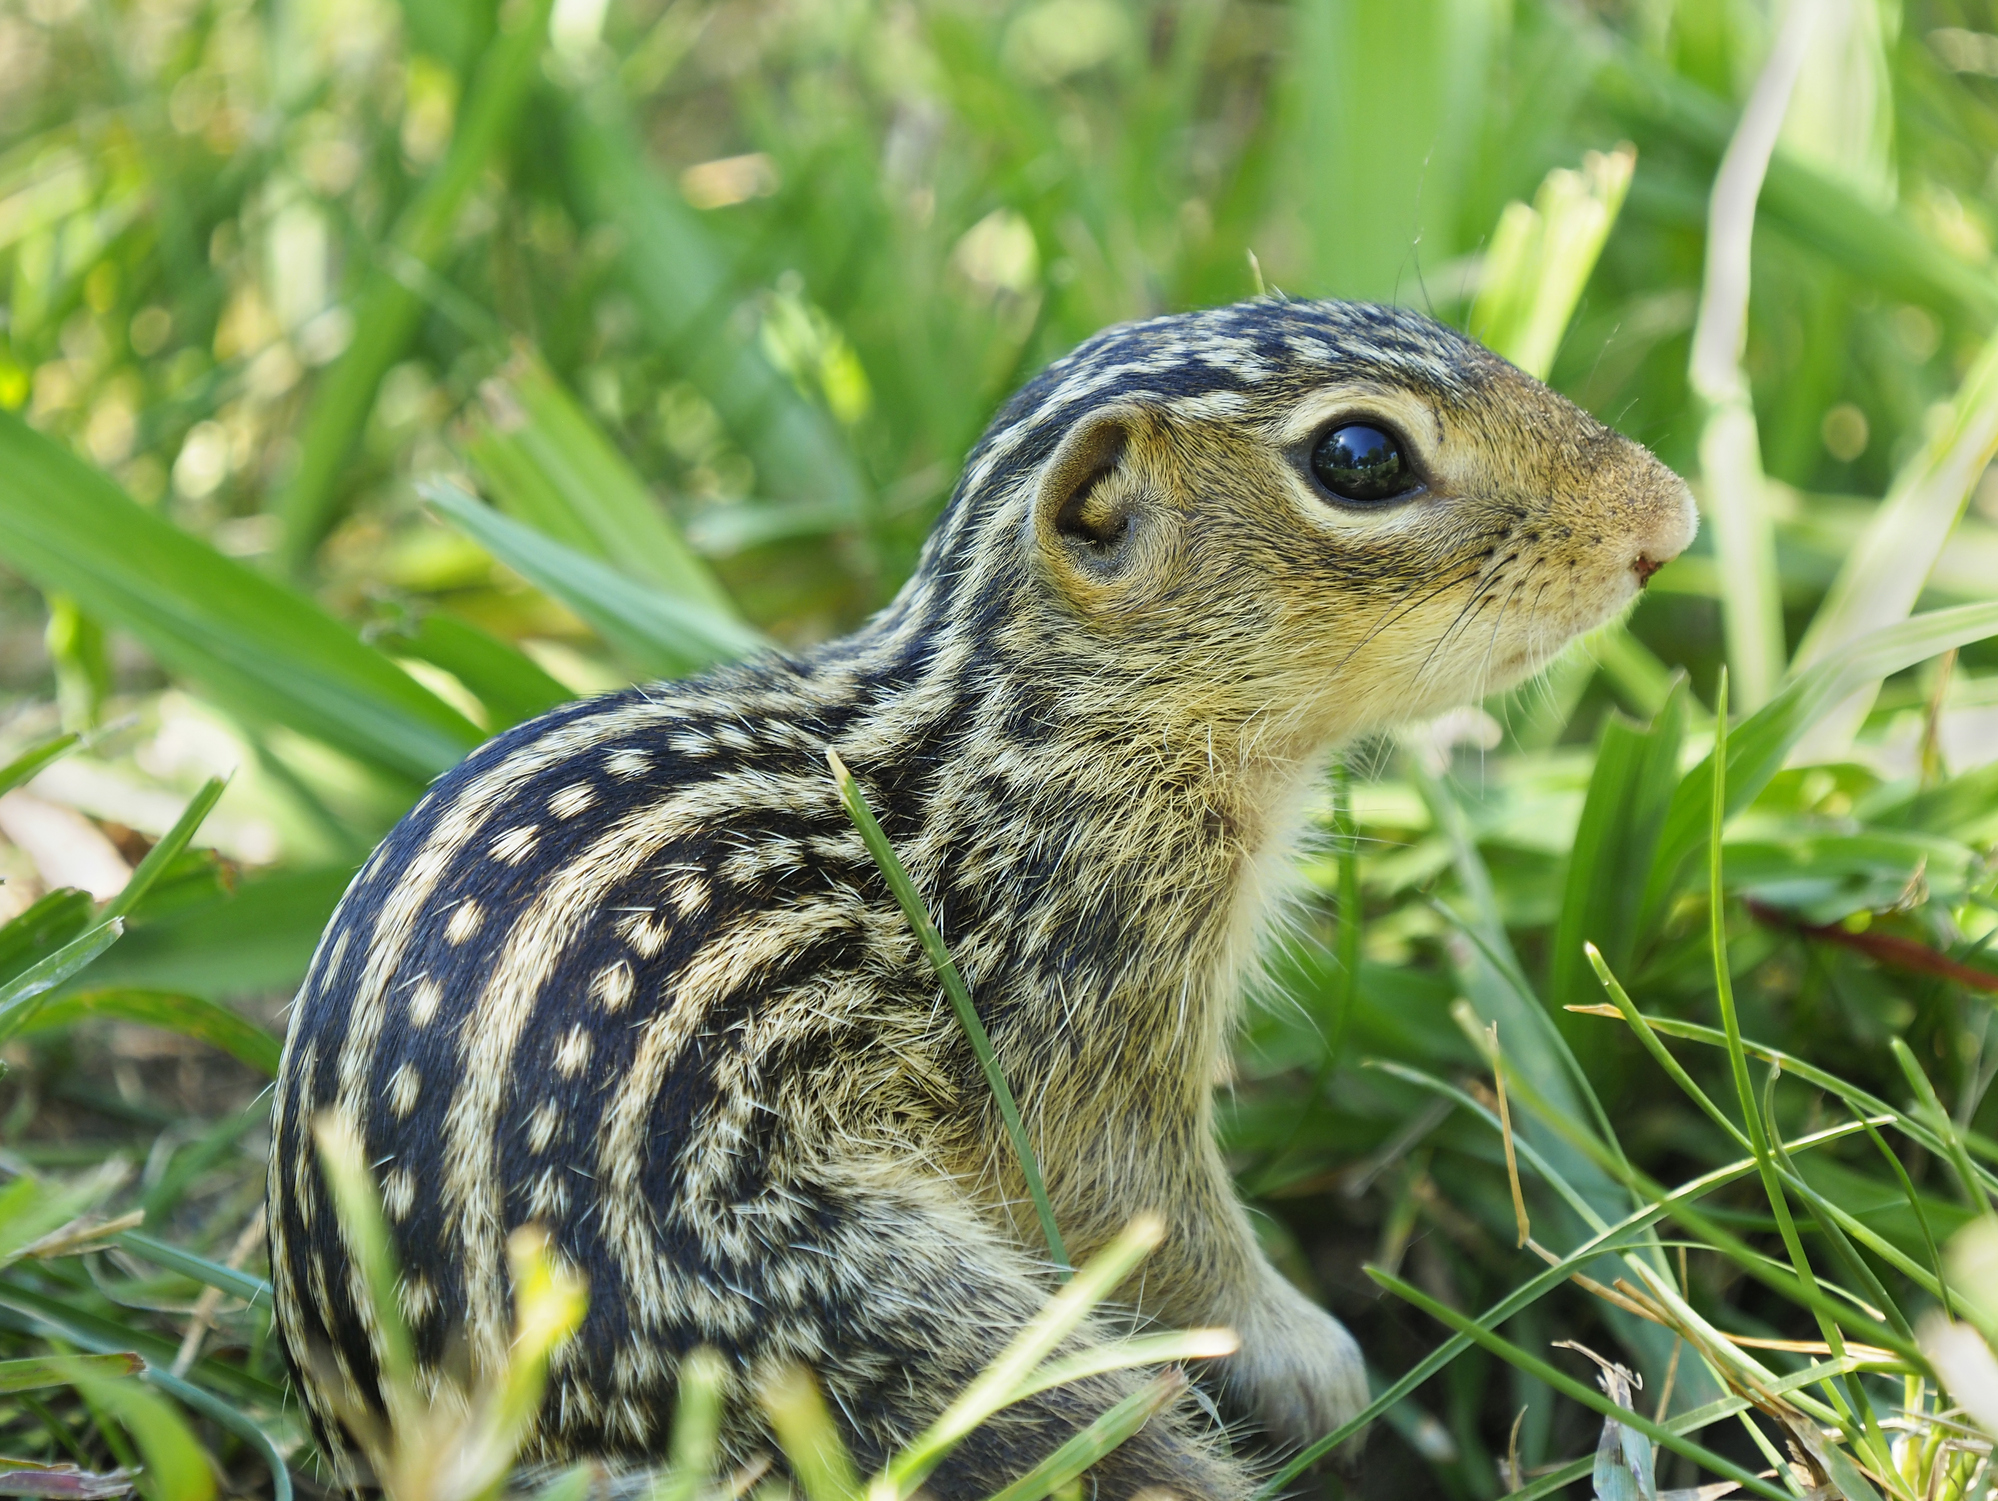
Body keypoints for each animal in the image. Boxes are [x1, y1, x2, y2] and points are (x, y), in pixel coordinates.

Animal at [269, 295, 1702, 1501]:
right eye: (1361, 457)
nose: (1671, 519)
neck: (1037, 724)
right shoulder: (1084, 998)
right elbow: (1154, 1215)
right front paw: (1315, 1357)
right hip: (867, 1337)